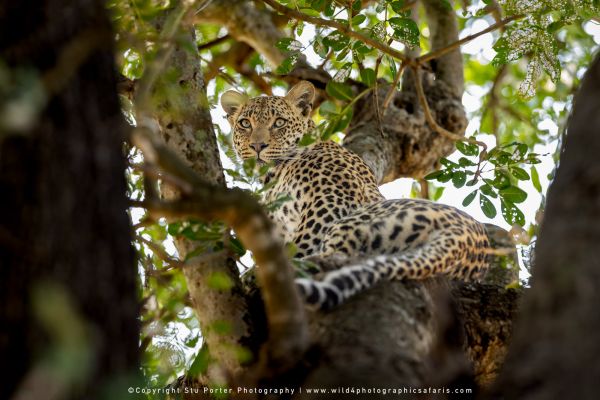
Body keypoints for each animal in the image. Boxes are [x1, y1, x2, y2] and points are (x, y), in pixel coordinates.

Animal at [221, 81, 492, 310]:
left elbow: (299, 246)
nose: (257, 146)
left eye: (279, 122)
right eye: (245, 123)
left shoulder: (329, 204)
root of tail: (465, 241)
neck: (275, 175)